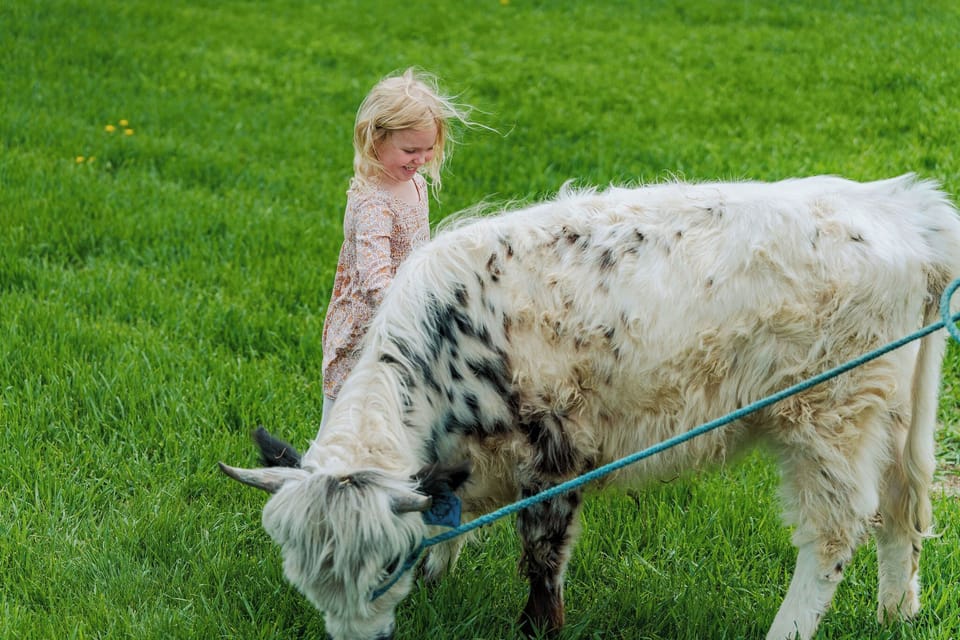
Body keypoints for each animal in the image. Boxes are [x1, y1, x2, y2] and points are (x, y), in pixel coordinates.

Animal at [220, 174, 960, 640]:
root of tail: (898, 205)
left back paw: (790, 629)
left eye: (384, 567)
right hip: (894, 412)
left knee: (834, 533)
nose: (357, 636)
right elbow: (446, 523)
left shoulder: (553, 456)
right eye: (304, 576)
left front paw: (535, 629)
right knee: (903, 507)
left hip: (829, 413)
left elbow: (542, 556)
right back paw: (896, 613)